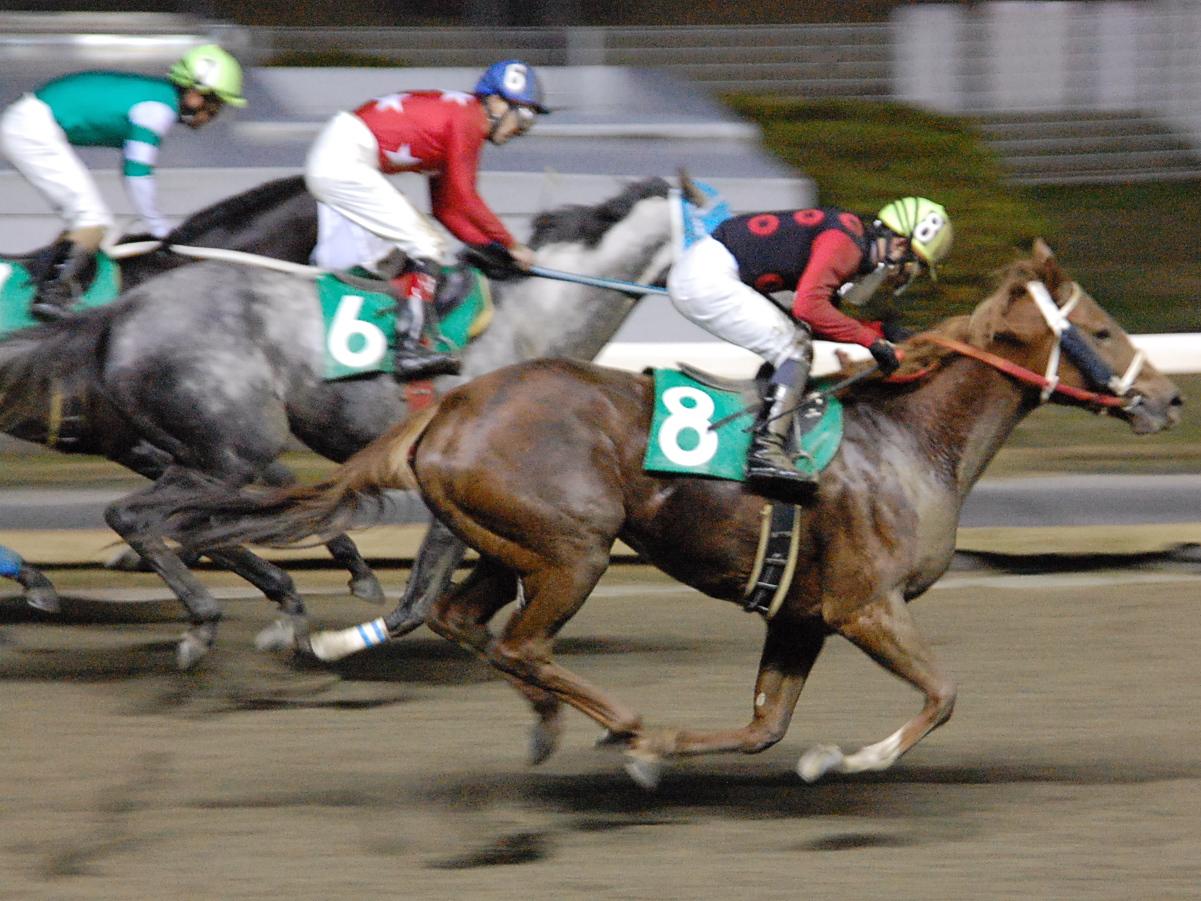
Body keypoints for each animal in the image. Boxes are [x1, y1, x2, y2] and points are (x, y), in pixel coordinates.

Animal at [0, 176, 681, 667]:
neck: (534, 319)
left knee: (173, 518)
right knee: (139, 515)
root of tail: (122, 312)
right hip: (228, 449)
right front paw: (329, 629)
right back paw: (199, 620)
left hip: (209, 450)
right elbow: (418, 592)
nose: (381, 263)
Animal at [159, 241, 1182, 785]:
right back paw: (615, 719)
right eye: (1098, 329)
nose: (1168, 399)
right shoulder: (864, 605)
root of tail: (451, 406)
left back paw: (556, 721)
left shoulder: (802, 613)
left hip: (507, 542)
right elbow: (941, 694)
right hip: (571, 550)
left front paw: (692, 754)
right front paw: (843, 761)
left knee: (464, 620)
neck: (907, 438)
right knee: (520, 641)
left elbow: (765, 725)